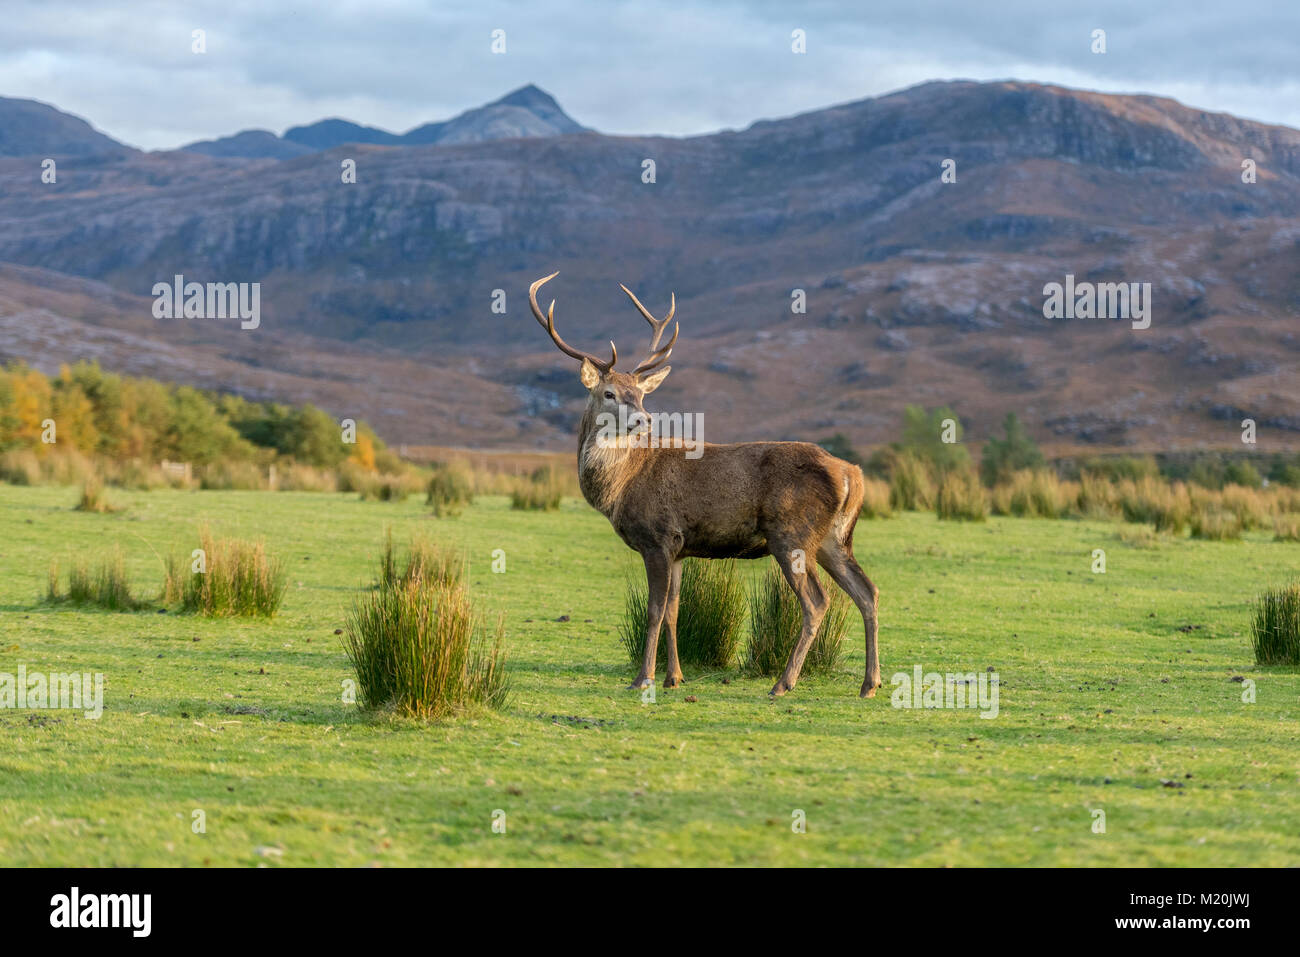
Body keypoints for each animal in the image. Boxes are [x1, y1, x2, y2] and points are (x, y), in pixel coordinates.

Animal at [527, 273, 883, 696]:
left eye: (641, 393)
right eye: (609, 393)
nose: (644, 419)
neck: (620, 487)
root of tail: (851, 474)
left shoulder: (658, 537)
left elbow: (653, 610)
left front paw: (642, 678)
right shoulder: (680, 548)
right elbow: (674, 612)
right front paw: (674, 677)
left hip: (791, 533)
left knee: (817, 601)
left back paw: (783, 683)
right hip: (834, 538)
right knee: (867, 591)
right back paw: (869, 683)